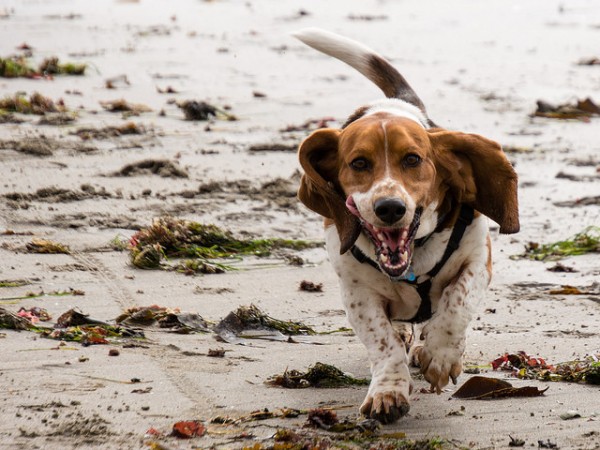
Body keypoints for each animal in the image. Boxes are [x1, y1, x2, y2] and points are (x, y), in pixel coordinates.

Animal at [292, 29, 516, 426]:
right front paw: (388, 391)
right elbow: (383, 342)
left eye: (413, 159)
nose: (390, 208)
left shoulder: (477, 261)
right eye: (359, 163)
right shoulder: (357, 293)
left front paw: (440, 356)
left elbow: (456, 306)